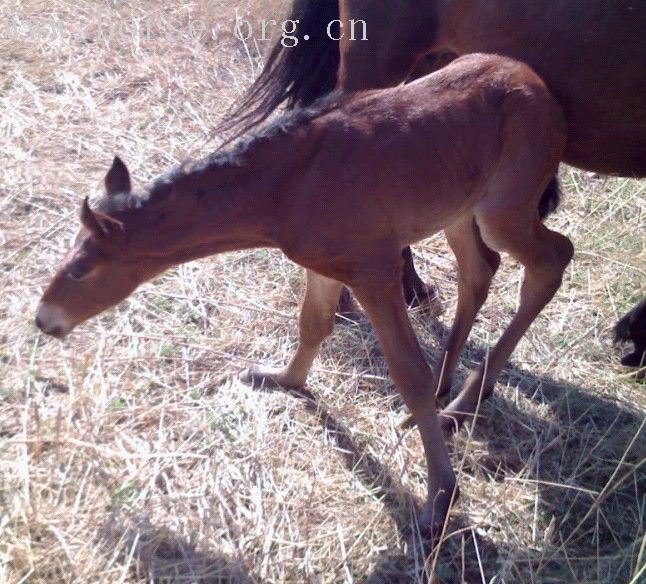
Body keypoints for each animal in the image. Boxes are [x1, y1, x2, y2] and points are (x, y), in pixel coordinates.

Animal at [35, 56, 576, 540]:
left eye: (81, 269)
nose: (43, 319)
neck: (285, 190)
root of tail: (542, 89)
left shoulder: (373, 270)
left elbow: (408, 374)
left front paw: (441, 501)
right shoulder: (325, 265)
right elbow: (314, 324)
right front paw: (282, 380)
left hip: (505, 205)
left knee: (552, 258)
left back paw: (462, 403)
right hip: (459, 209)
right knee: (480, 270)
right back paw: (455, 390)